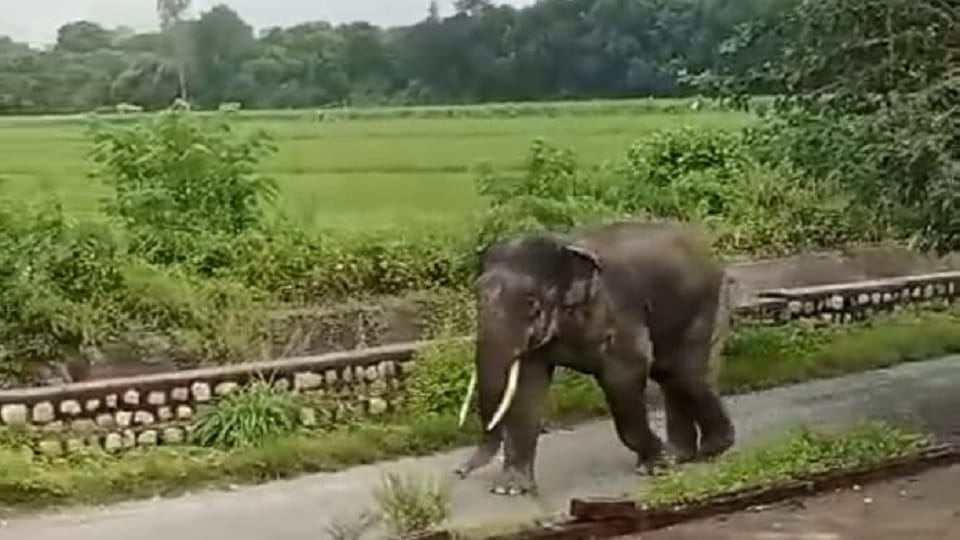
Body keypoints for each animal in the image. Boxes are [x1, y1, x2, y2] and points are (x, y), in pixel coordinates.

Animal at [453, 220, 736, 496]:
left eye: (531, 304)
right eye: (476, 294)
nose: (459, 471)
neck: (563, 246)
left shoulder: (618, 313)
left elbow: (624, 375)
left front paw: (656, 465)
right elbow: (527, 387)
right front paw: (510, 489)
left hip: (706, 306)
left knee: (687, 375)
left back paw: (710, 450)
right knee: (670, 376)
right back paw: (682, 455)